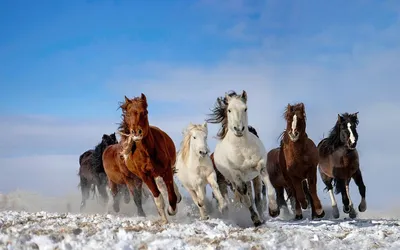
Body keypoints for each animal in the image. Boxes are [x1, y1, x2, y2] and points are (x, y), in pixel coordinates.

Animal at [110, 94, 184, 223]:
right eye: (128, 114)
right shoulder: (145, 176)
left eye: (144, 112)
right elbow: (157, 197)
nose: (136, 132)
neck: (147, 153)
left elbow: (171, 194)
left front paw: (172, 210)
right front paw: (164, 219)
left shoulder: (166, 170)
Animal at [206, 90, 278, 227]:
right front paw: (255, 219)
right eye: (229, 110)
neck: (242, 149)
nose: (238, 129)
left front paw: (274, 210)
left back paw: (262, 217)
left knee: (257, 198)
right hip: (232, 181)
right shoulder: (237, 176)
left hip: (252, 178)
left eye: (245, 108)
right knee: (246, 197)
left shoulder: (260, 167)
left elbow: (269, 188)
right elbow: (245, 198)